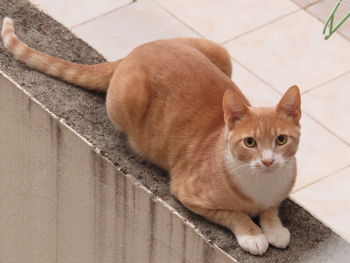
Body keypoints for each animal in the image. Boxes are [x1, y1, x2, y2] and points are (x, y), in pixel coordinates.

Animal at [0, 17, 300, 256]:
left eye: (281, 140)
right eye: (250, 142)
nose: (269, 161)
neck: (262, 184)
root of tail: (133, 52)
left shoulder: (277, 192)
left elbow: (271, 209)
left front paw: (274, 228)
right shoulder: (187, 192)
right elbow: (233, 214)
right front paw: (253, 235)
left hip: (219, 52)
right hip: (126, 97)